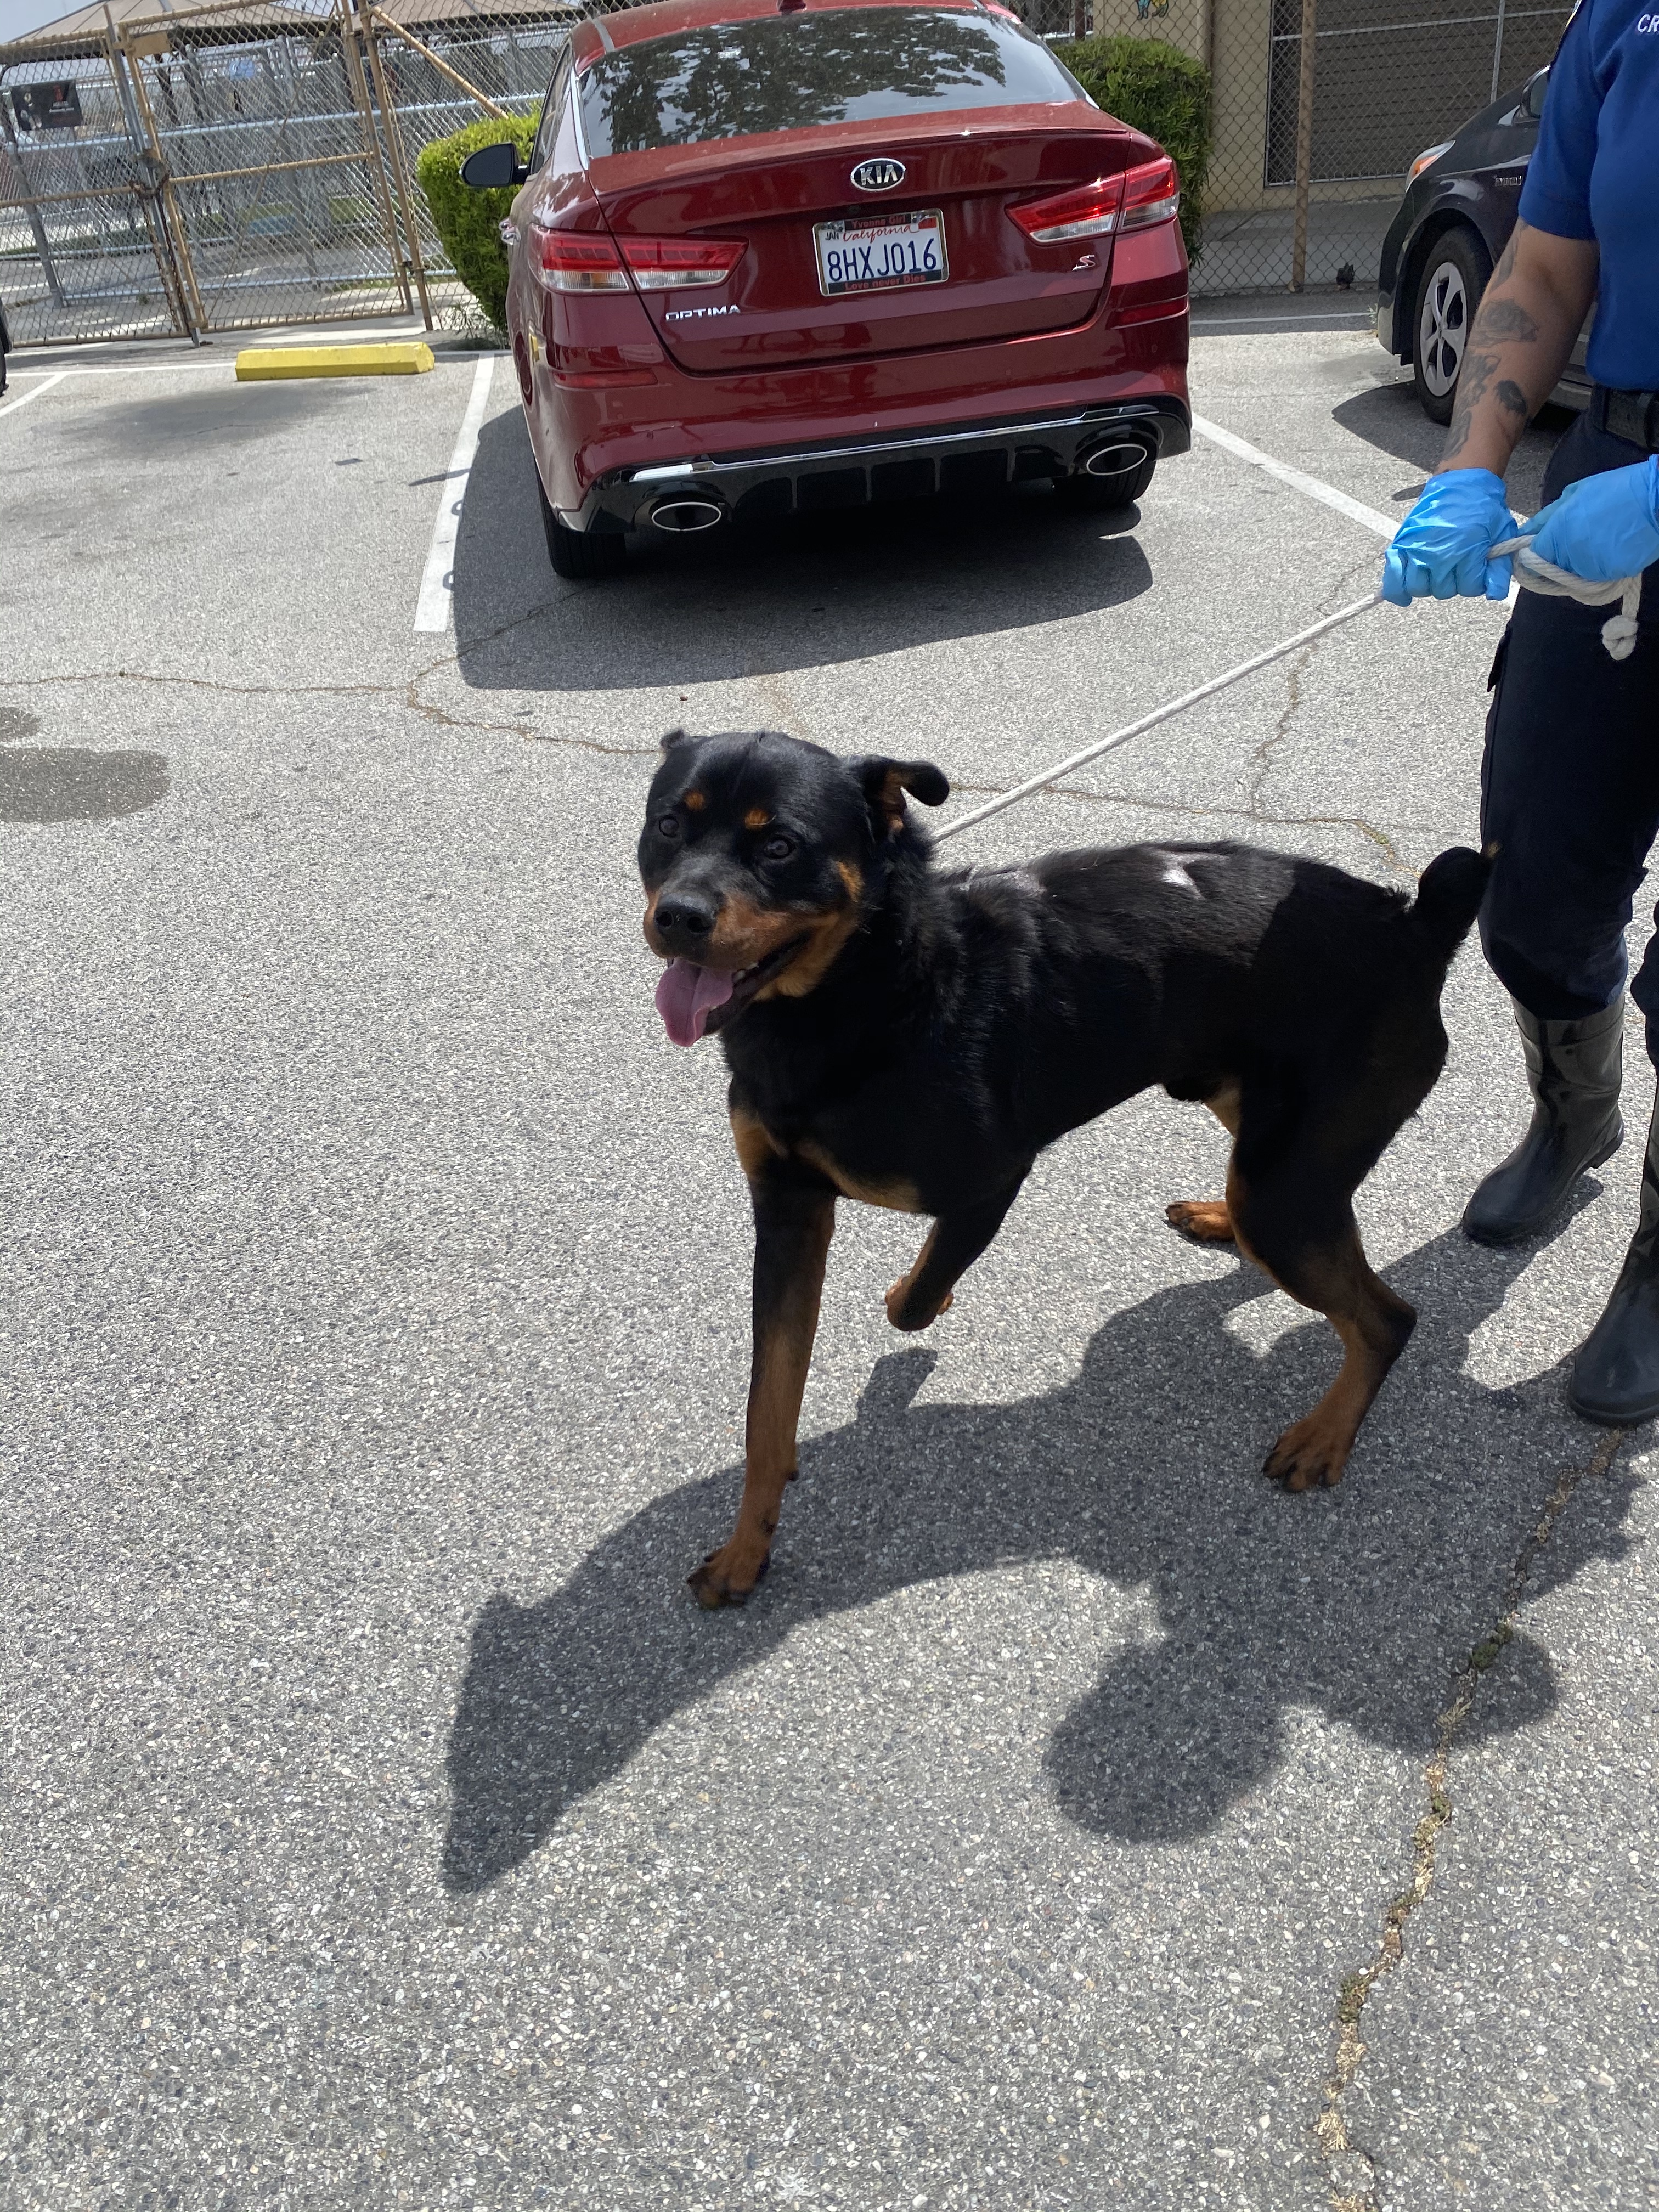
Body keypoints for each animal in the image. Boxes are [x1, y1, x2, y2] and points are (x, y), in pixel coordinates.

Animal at [641, 725, 1495, 1610]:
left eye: (780, 846)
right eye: (668, 826)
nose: (677, 917)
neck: (877, 988)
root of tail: (1412, 925)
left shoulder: (988, 1182)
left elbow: (908, 1304)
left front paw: (924, 1308)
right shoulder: (786, 1209)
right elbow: (767, 1407)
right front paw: (748, 1549)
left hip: (1289, 1190)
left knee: (1387, 1318)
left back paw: (1325, 1436)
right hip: (1253, 1123)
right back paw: (1221, 1223)